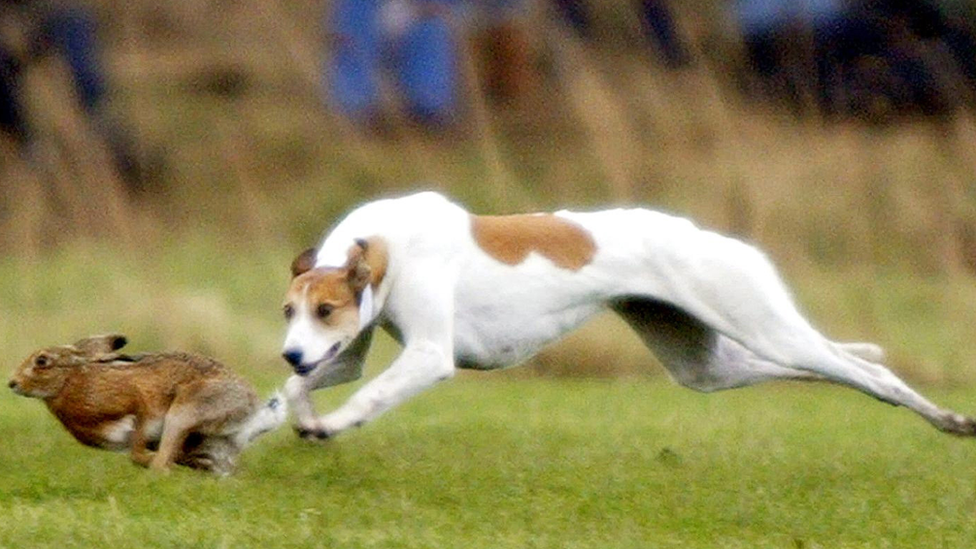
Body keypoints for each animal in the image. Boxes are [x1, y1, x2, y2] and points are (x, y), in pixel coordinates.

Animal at [280, 191, 976, 438]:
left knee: (869, 377)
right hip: (709, 365)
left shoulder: (428, 357)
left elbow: (368, 395)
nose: (289, 349)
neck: (381, 245)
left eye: (327, 308)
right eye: (290, 311)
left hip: (763, 325)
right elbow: (297, 390)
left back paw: (947, 419)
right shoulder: (342, 354)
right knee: (828, 366)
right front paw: (295, 413)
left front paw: (329, 425)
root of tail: (723, 240)